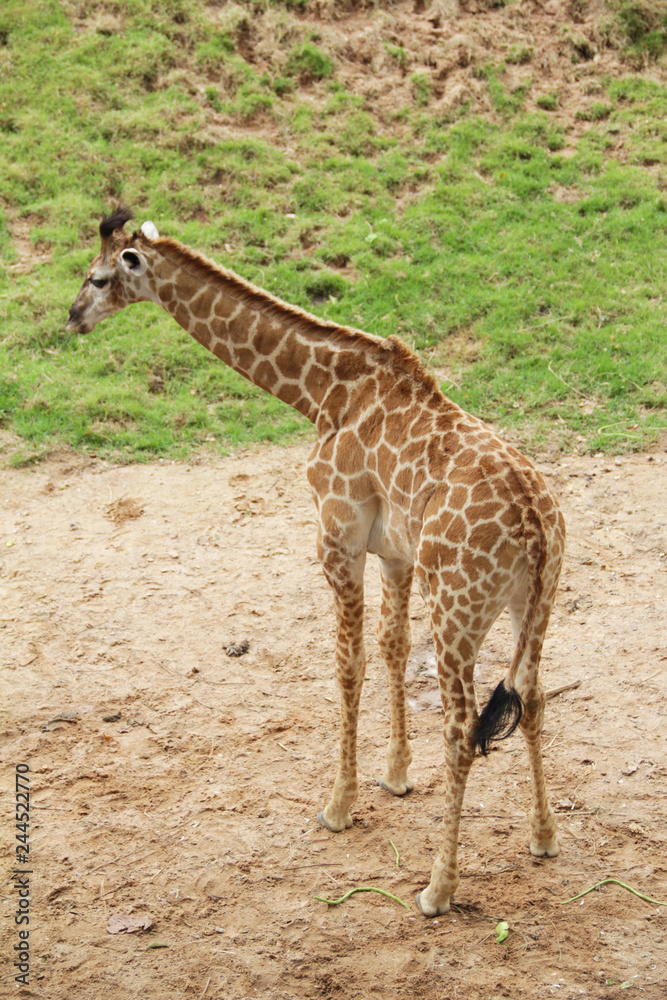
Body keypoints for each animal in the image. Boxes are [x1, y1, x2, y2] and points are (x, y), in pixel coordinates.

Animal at [67, 208, 565, 917]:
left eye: (100, 277)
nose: (72, 318)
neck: (321, 390)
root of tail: (535, 526)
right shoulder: (395, 552)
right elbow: (390, 646)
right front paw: (395, 776)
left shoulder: (337, 537)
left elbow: (347, 664)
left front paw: (339, 806)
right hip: (535, 604)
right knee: (533, 695)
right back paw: (543, 838)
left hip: (458, 610)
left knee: (463, 726)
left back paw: (437, 888)